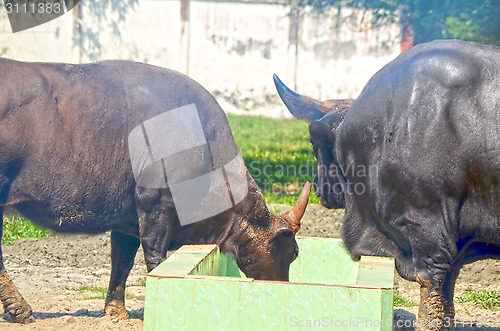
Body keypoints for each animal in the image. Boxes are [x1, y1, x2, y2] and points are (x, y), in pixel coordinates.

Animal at [0, 57, 310, 324]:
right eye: (293, 252)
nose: (282, 289)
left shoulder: (126, 220)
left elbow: (122, 259)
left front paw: (116, 311)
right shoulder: (156, 205)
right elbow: (154, 255)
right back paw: (20, 308)